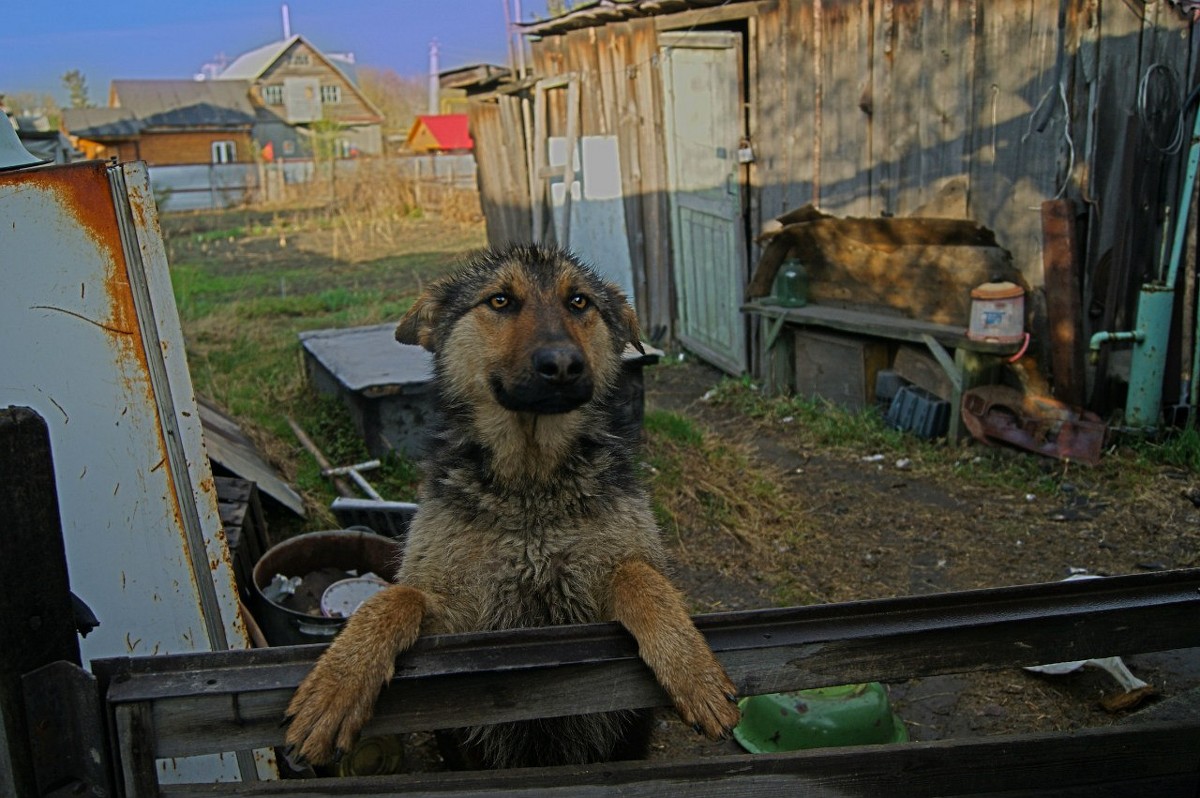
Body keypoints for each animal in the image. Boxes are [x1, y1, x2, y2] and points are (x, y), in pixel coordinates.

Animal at [288, 242, 739, 768]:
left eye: (579, 302)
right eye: (500, 301)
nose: (562, 365)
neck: (531, 487)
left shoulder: (595, 606)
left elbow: (639, 576)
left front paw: (693, 668)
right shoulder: (458, 623)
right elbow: (394, 598)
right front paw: (337, 683)